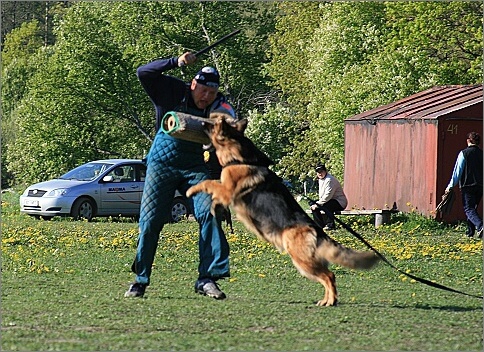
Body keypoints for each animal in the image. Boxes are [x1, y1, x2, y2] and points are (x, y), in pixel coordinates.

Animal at [187, 113, 380, 306]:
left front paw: (192, 190)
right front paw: (213, 207)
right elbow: (213, 193)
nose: (201, 122)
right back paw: (326, 300)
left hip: (302, 260)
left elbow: (209, 182)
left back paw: (330, 301)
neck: (238, 154)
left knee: (329, 276)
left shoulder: (227, 191)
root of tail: (317, 229)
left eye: (213, 125)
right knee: (328, 276)